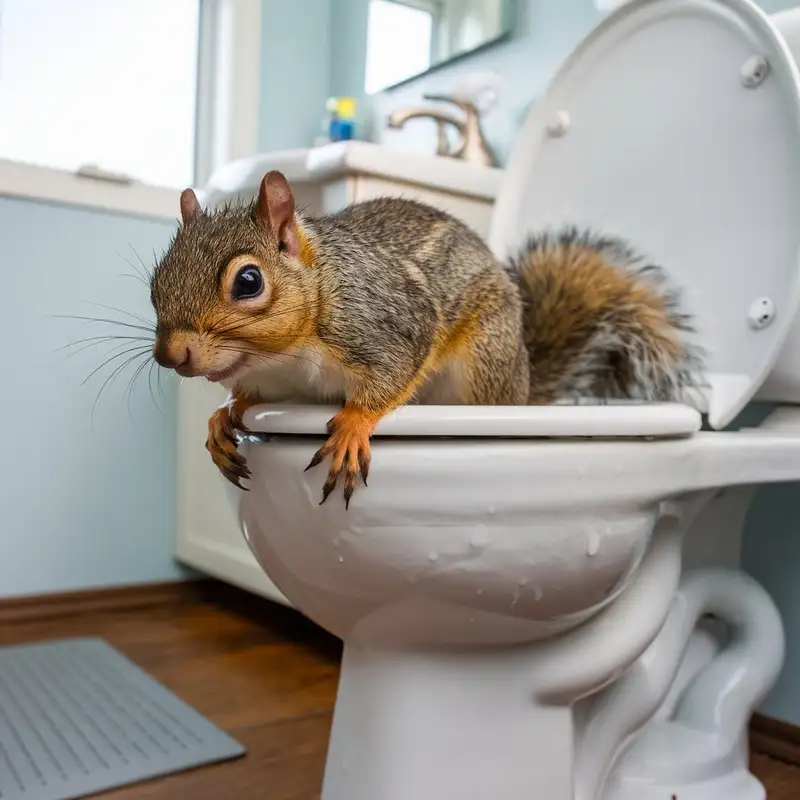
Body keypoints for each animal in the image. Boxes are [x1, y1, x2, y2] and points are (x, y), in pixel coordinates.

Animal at [149, 170, 701, 507]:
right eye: (155, 280)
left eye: (248, 281)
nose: (172, 355)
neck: (280, 359)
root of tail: (523, 388)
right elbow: (244, 399)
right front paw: (223, 418)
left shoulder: (388, 324)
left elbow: (394, 372)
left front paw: (353, 426)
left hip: (483, 363)